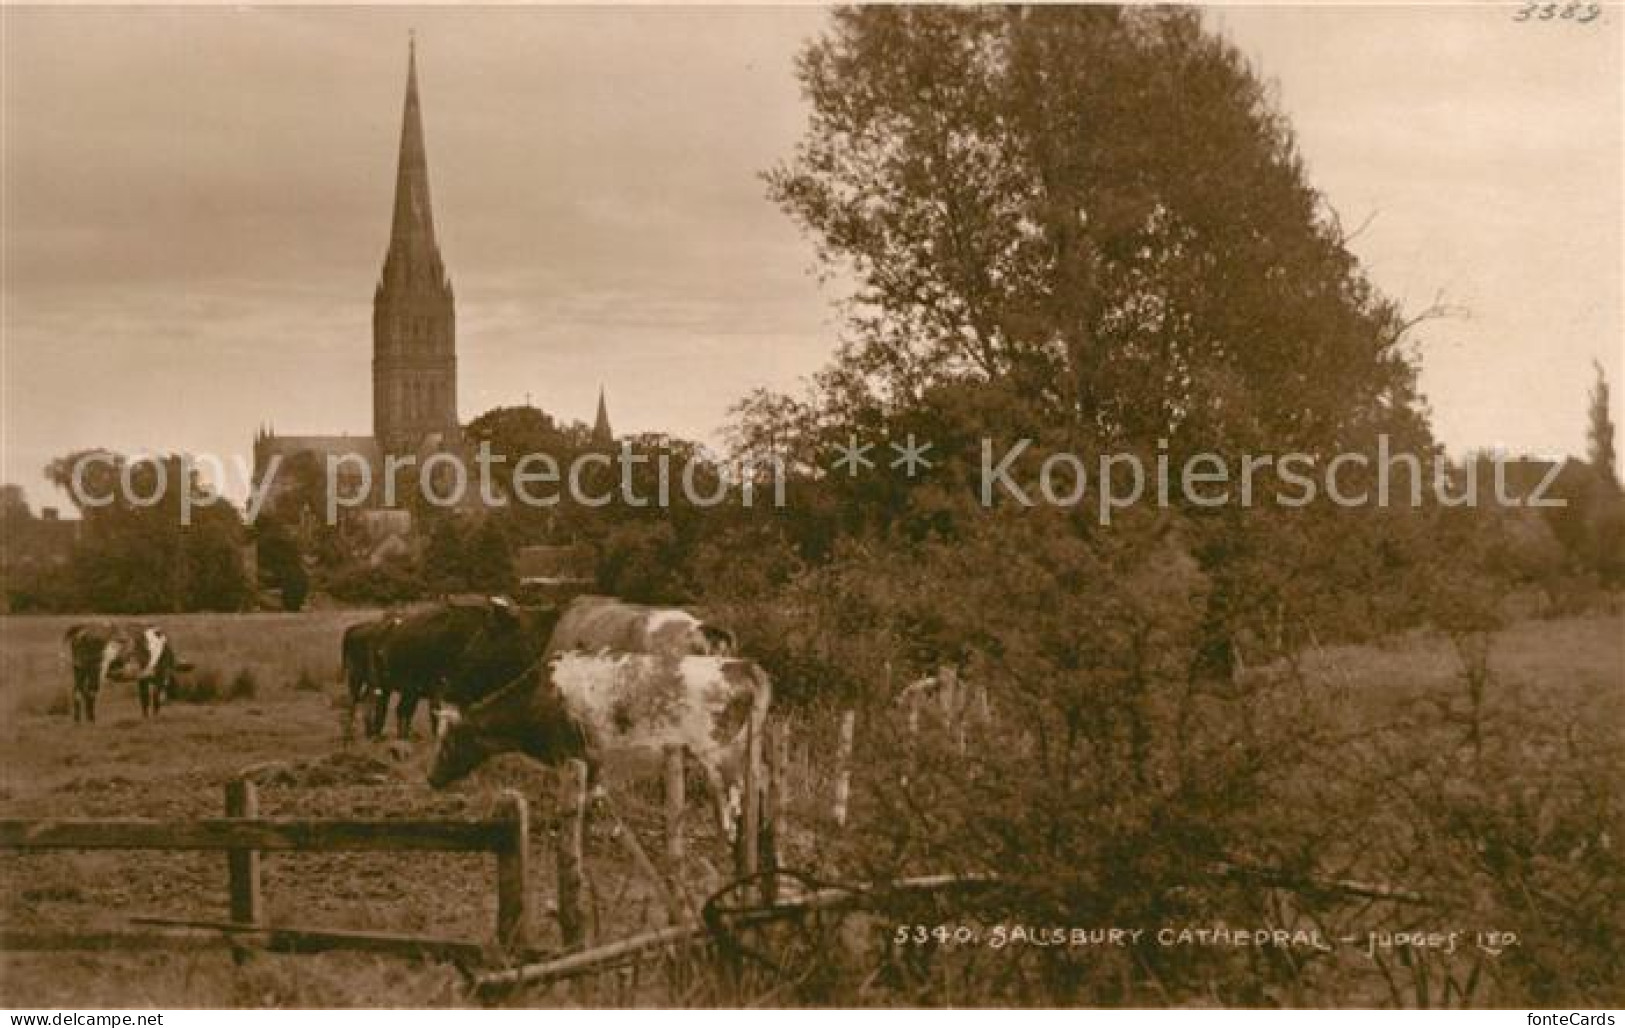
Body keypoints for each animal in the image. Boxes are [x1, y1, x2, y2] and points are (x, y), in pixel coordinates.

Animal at [425, 652, 767, 837]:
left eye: (449, 740)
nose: (430, 779)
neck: (541, 694)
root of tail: (742, 665)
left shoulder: (571, 754)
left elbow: (579, 798)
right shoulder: (596, 759)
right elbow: (596, 795)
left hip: (718, 752)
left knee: (730, 792)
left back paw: (729, 833)